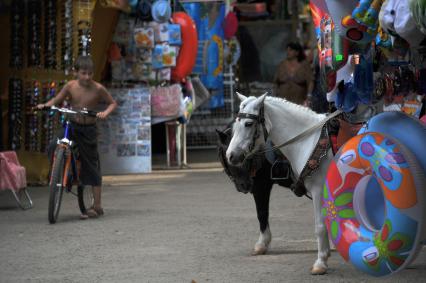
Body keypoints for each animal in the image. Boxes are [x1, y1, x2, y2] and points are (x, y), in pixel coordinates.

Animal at [228, 93, 334, 276]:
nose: (231, 155)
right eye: (236, 123)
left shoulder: (318, 190)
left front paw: (320, 262)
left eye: (248, 123)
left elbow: (320, 225)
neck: (310, 141)